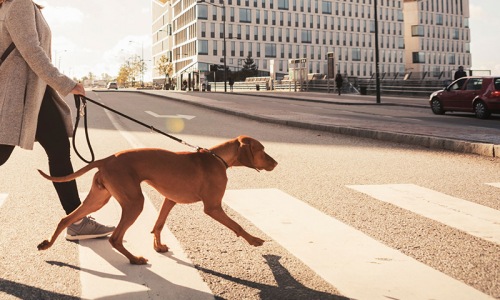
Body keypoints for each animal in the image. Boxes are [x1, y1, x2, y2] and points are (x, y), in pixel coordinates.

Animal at [36, 136, 278, 264]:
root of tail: (106, 160)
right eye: (262, 150)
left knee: (66, 219)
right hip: (134, 202)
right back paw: (134, 259)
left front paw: (158, 245)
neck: (218, 158)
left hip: (98, 199)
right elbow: (237, 225)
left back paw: (47, 244)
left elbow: (159, 224)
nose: (276, 163)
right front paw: (254, 240)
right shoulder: (213, 207)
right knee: (115, 238)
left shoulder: (169, 200)